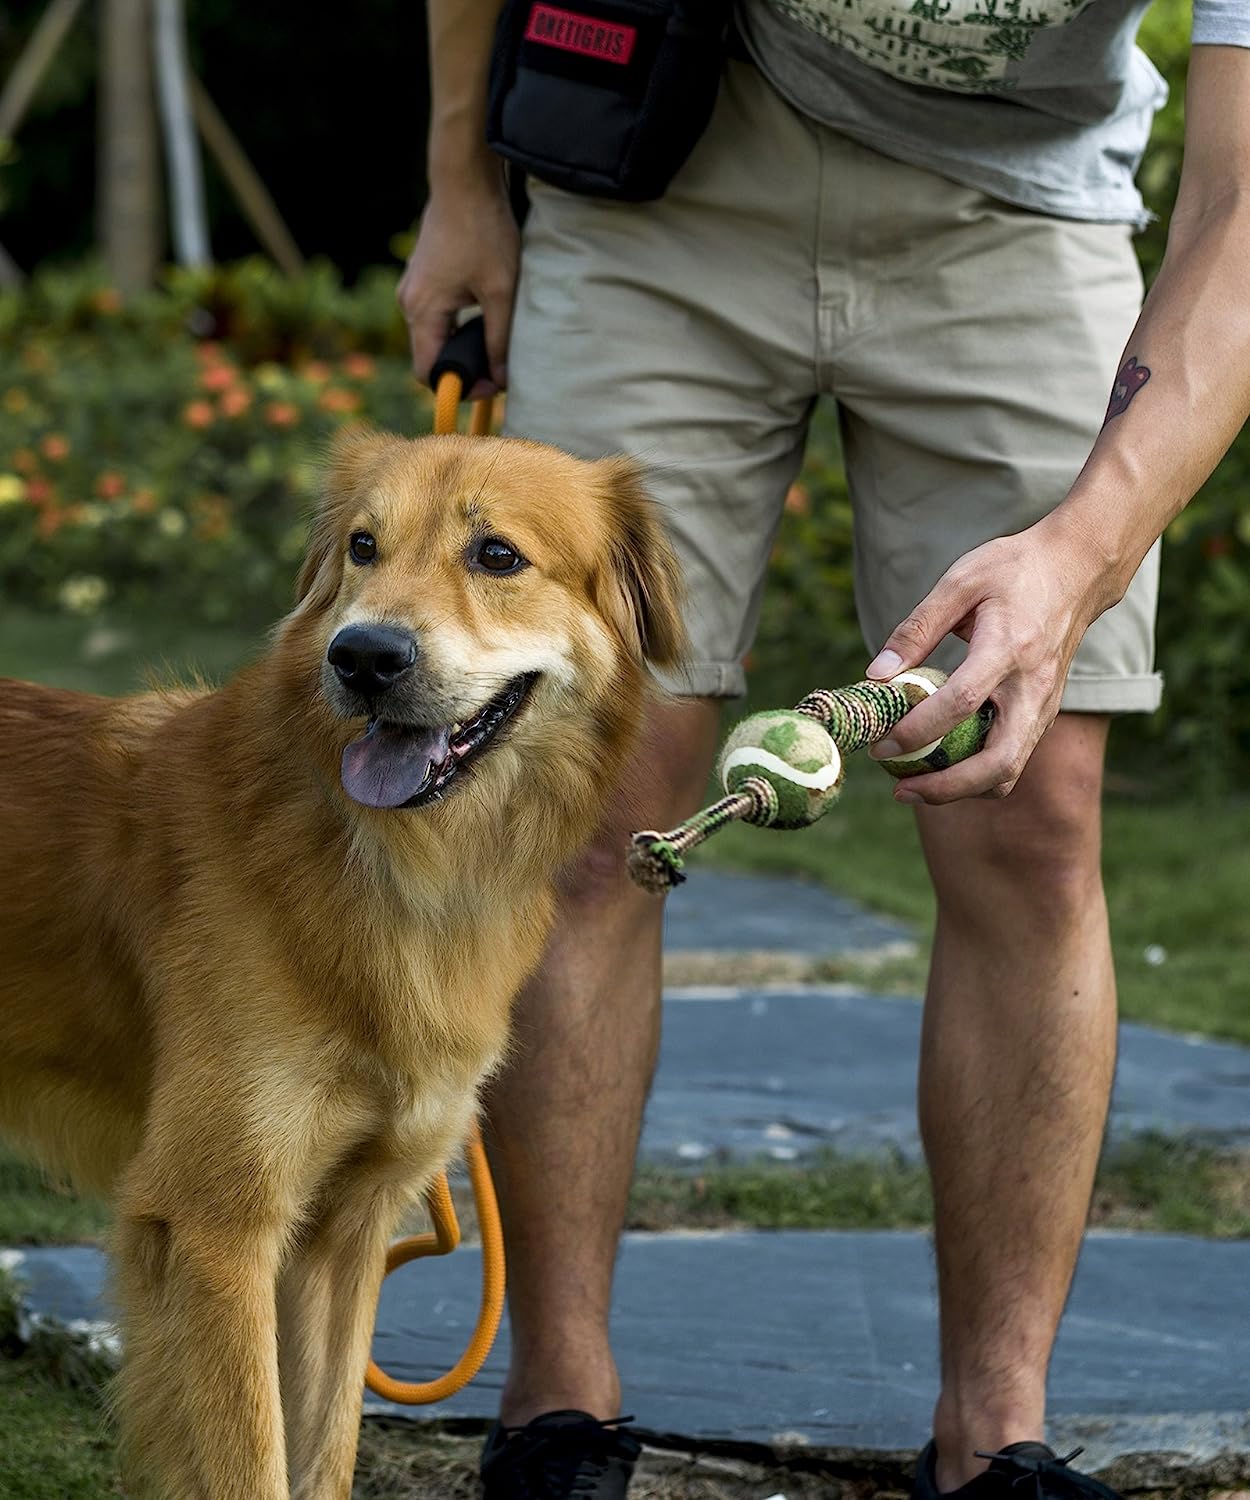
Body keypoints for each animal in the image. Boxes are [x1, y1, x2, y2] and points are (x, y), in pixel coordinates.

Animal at [0, 426, 684, 1500]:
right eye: (364, 545)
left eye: (497, 555)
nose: (361, 656)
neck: (389, 865)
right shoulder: (216, 1225)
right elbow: (255, 1464)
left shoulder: (346, 1233)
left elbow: (322, 1454)